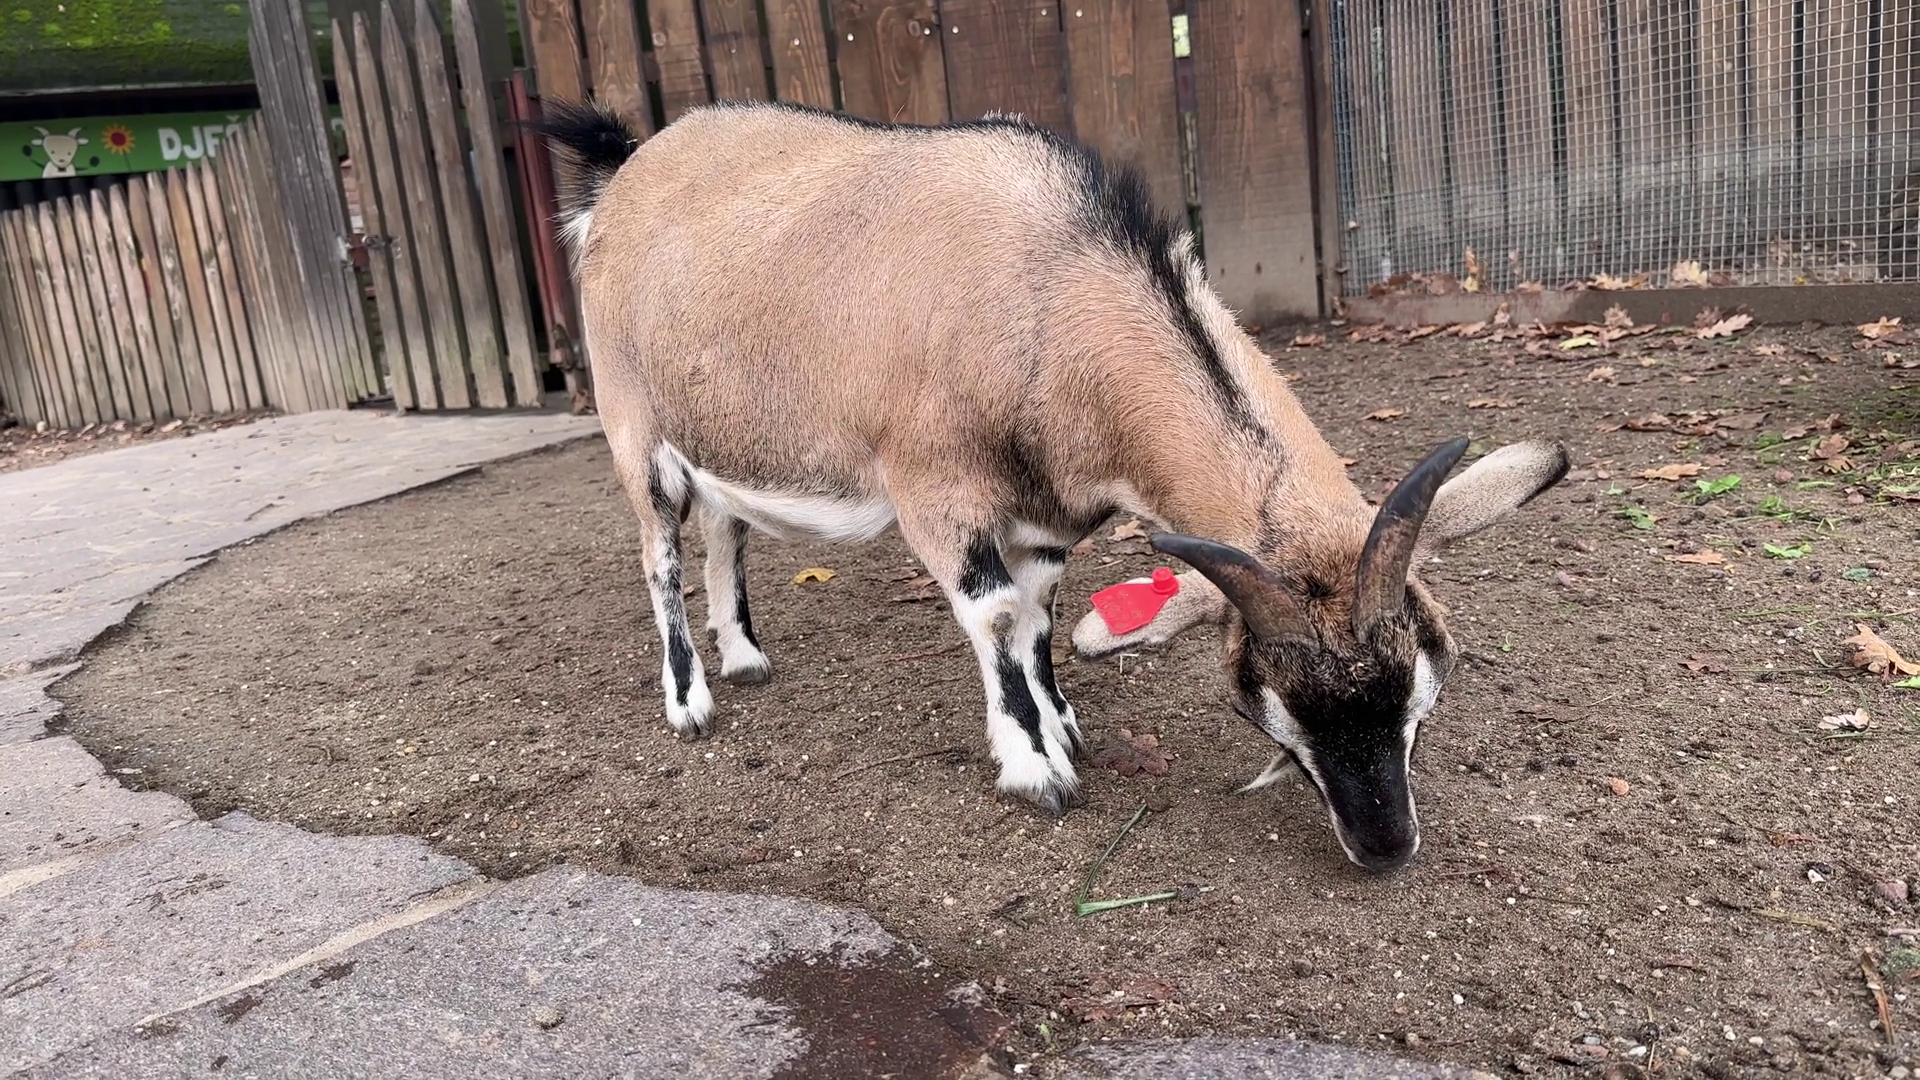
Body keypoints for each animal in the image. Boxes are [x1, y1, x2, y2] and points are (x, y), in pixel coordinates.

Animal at [541, 99, 1568, 871]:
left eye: (1422, 699)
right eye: (1269, 704)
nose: (1385, 847)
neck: (1048, 283)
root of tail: (625, 171)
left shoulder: (1043, 515)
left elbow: (1037, 613)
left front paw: (1062, 721)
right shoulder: (935, 489)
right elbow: (995, 615)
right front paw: (1035, 769)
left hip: (717, 428)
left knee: (726, 529)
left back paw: (747, 656)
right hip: (632, 422)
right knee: (659, 552)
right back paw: (690, 699)